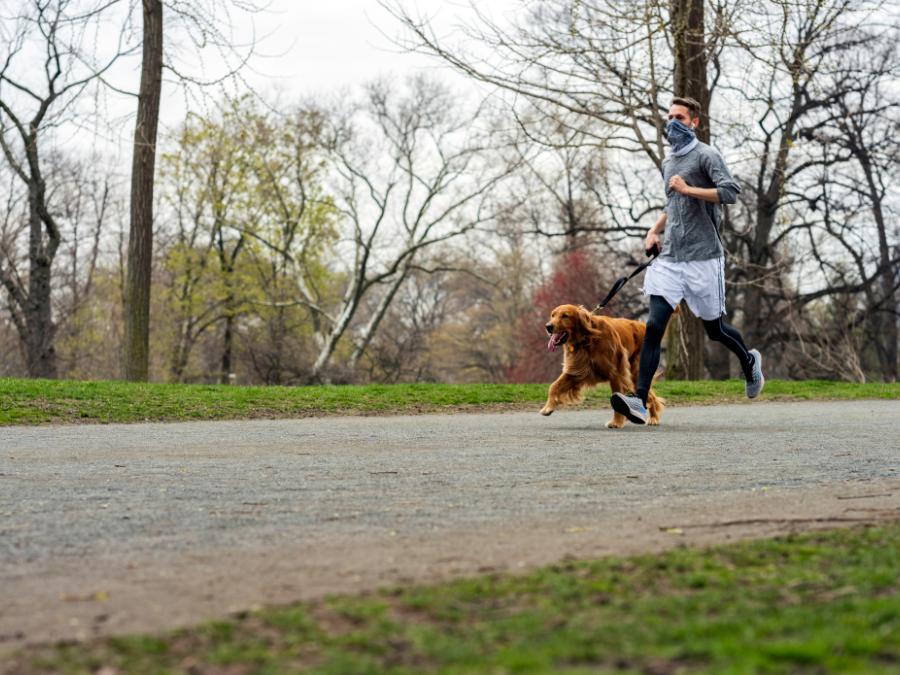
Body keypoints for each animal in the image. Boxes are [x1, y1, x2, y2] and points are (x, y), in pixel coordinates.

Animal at [536, 304, 664, 428]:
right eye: (553, 315)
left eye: (565, 316)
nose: (548, 326)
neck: (587, 339)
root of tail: (642, 325)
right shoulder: (576, 371)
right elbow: (553, 386)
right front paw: (548, 408)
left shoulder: (616, 373)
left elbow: (615, 397)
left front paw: (616, 422)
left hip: (636, 373)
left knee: (649, 395)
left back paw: (653, 418)